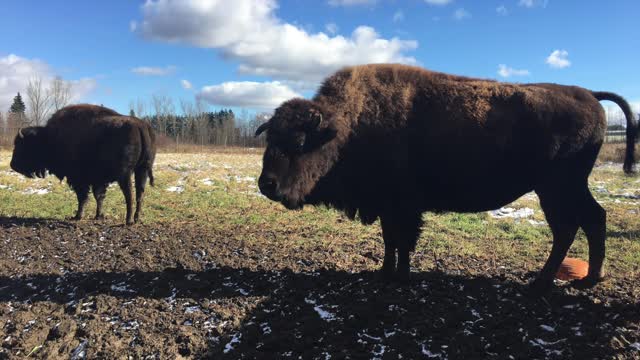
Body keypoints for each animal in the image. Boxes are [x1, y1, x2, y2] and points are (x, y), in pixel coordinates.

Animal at [10, 102, 157, 225]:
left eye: (21, 145)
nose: (12, 165)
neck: (48, 138)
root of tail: (141, 126)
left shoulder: (79, 179)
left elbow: (82, 198)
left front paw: (77, 216)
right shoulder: (97, 179)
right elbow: (99, 197)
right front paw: (98, 216)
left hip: (125, 174)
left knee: (129, 194)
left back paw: (128, 220)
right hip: (142, 169)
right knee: (139, 193)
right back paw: (136, 218)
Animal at [258, 64, 636, 296]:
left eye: (299, 142)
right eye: (270, 138)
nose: (266, 185)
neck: (345, 127)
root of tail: (590, 94)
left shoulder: (401, 206)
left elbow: (402, 241)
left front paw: (400, 276)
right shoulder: (388, 206)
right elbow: (391, 241)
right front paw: (385, 273)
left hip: (556, 188)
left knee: (570, 227)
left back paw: (542, 283)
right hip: (565, 188)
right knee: (591, 219)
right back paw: (587, 279)